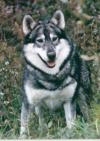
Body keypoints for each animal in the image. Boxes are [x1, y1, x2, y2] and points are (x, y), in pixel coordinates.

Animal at [19, 10, 91, 138]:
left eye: (54, 38)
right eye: (40, 41)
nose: (51, 55)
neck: (51, 77)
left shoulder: (69, 101)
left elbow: (71, 124)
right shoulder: (28, 102)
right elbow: (24, 126)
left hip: (82, 93)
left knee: (85, 110)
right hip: (37, 106)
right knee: (41, 117)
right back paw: (42, 130)